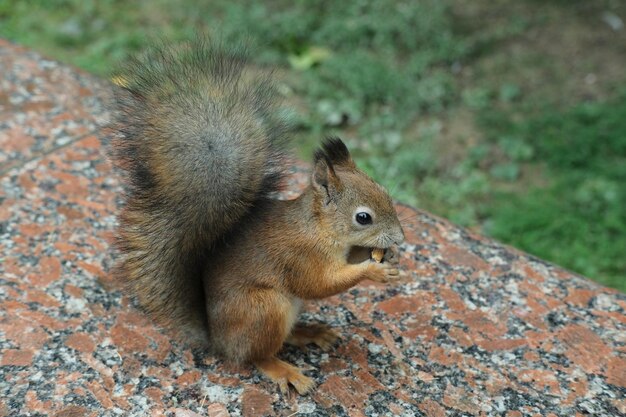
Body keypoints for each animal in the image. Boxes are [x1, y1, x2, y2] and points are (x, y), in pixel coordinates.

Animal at [111, 39, 404, 394]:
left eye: (385, 192)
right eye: (363, 217)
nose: (400, 237)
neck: (319, 228)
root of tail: (219, 341)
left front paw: (384, 255)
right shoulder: (299, 256)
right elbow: (318, 284)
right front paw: (373, 271)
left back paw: (311, 332)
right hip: (264, 308)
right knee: (256, 355)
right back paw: (284, 370)